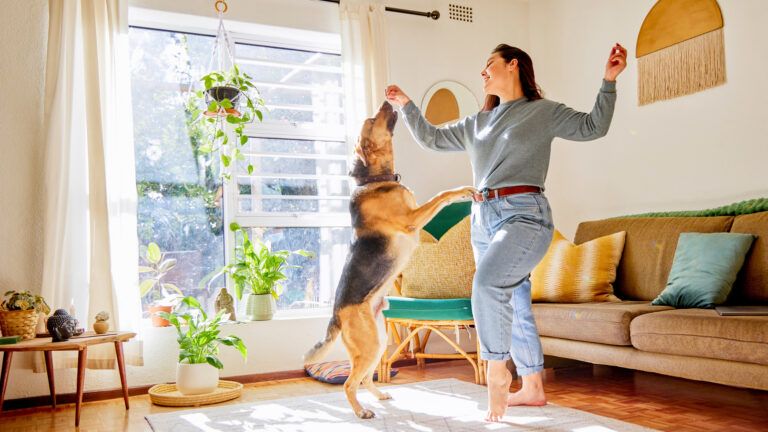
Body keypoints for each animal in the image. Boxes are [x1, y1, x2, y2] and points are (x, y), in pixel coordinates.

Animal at [304, 101, 474, 418]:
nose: (387, 100)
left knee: (364, 378)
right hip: (370, 344)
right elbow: (443, 194)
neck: (375, 180)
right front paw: (463, 191)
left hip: (379, 340)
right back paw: (361, 412)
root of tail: (336, 314)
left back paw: (379, 396)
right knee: (350, 383)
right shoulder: (412, 220)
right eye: (372, 121)